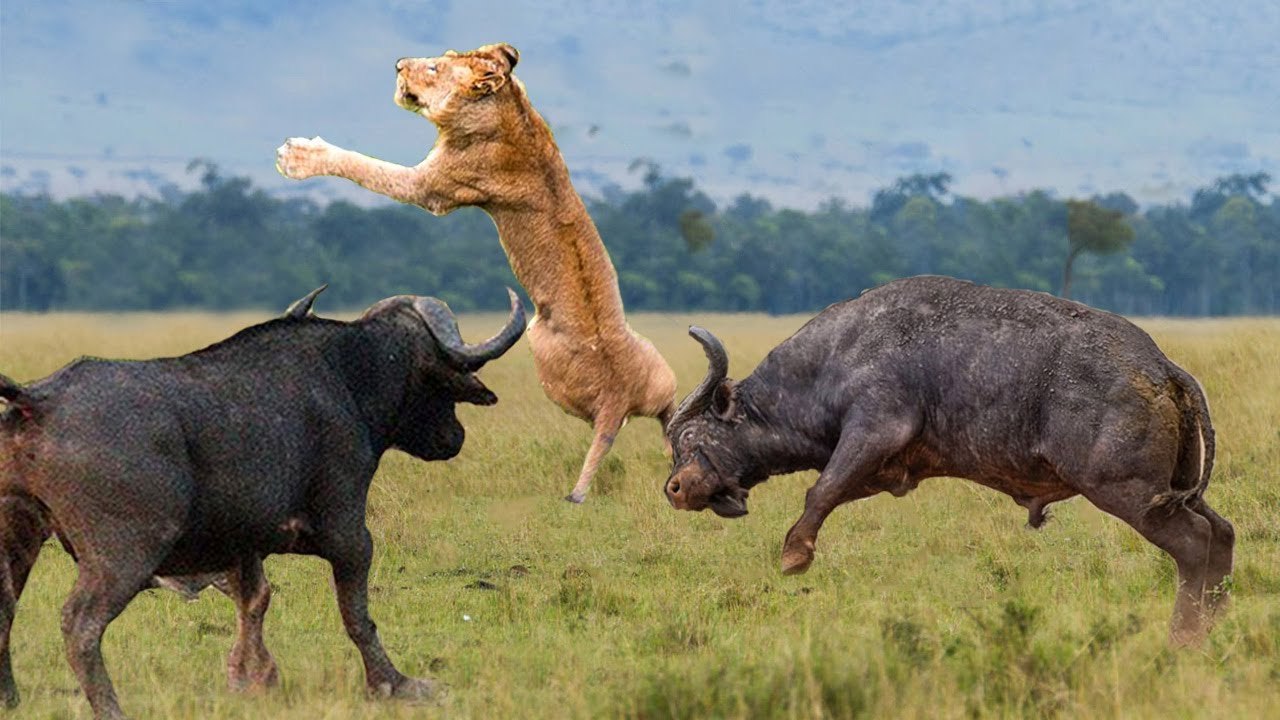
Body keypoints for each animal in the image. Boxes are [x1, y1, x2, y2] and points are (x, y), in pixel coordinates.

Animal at [275, 43, 677, 503]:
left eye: (434, 67)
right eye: (442, 56)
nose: (398, 65)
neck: (509, 110)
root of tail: (618, 397)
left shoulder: (430, 187)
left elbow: (365, 166)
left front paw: (297, 156)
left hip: (547, 361)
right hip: (658, 372)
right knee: (668, 410)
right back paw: (676, 446)